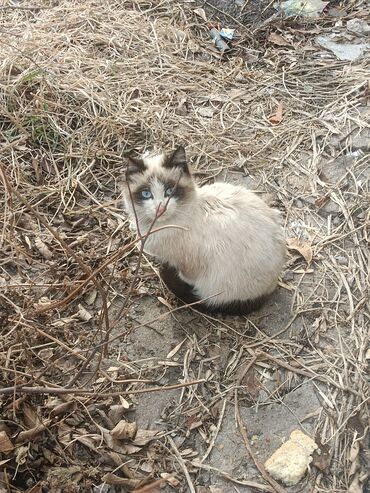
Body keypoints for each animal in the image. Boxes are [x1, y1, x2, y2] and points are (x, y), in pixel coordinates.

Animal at [122, 146, 286, 316]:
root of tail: (271, 287)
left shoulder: (187, 263)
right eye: (146, 194)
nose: (160, 208)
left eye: (170, 191)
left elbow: (186, 276)